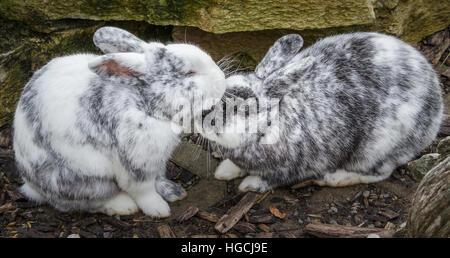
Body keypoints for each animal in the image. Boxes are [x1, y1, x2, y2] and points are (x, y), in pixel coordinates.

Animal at [13, 26, 225, 217]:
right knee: (81, 203)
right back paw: (123, 206)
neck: (144, 104)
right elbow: (144, 191)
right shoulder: (136, 166)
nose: (222, 79)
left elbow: (158, 179)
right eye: (190, 73)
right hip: (87, 182)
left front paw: (174, 192)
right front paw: (159, 210)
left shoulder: (157, 162)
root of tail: (31, 185)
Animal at [202, 32, 444, 192]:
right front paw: (224, 171)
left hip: (376, 149)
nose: (202, 117)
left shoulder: (289, 169)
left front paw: (248, 185)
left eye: (237, 107)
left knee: (379, 173)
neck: (268, 126)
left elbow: (270, 180)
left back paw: (334, 178)